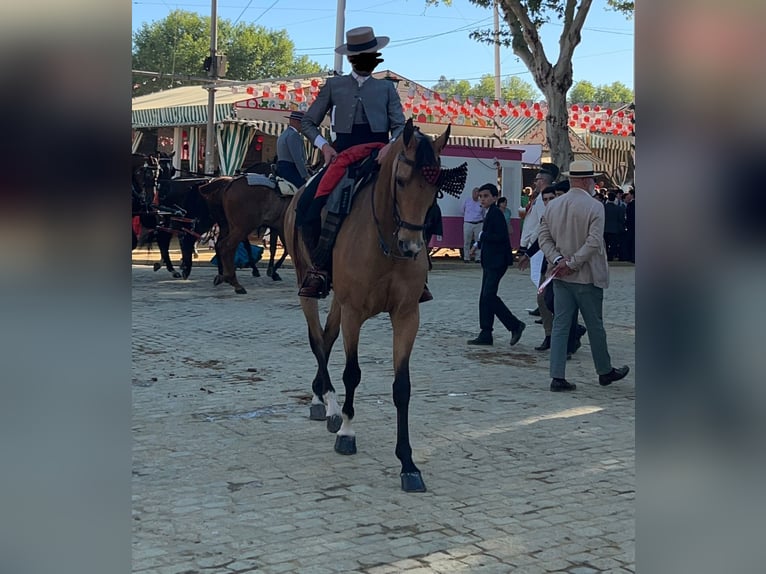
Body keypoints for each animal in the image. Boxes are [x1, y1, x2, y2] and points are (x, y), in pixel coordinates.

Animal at [284, 118, 452, 496]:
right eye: (401, 181)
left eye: (436, 187)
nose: (411, 246)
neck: (386, 238)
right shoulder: (355, 312)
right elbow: (352, 373)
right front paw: (347, 431)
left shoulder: (407, 315)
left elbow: (402, 386)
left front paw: (408, 463)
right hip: (308, 287)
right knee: (317, 341)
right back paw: (330, 406)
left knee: (326, 338)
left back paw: (320, 397)